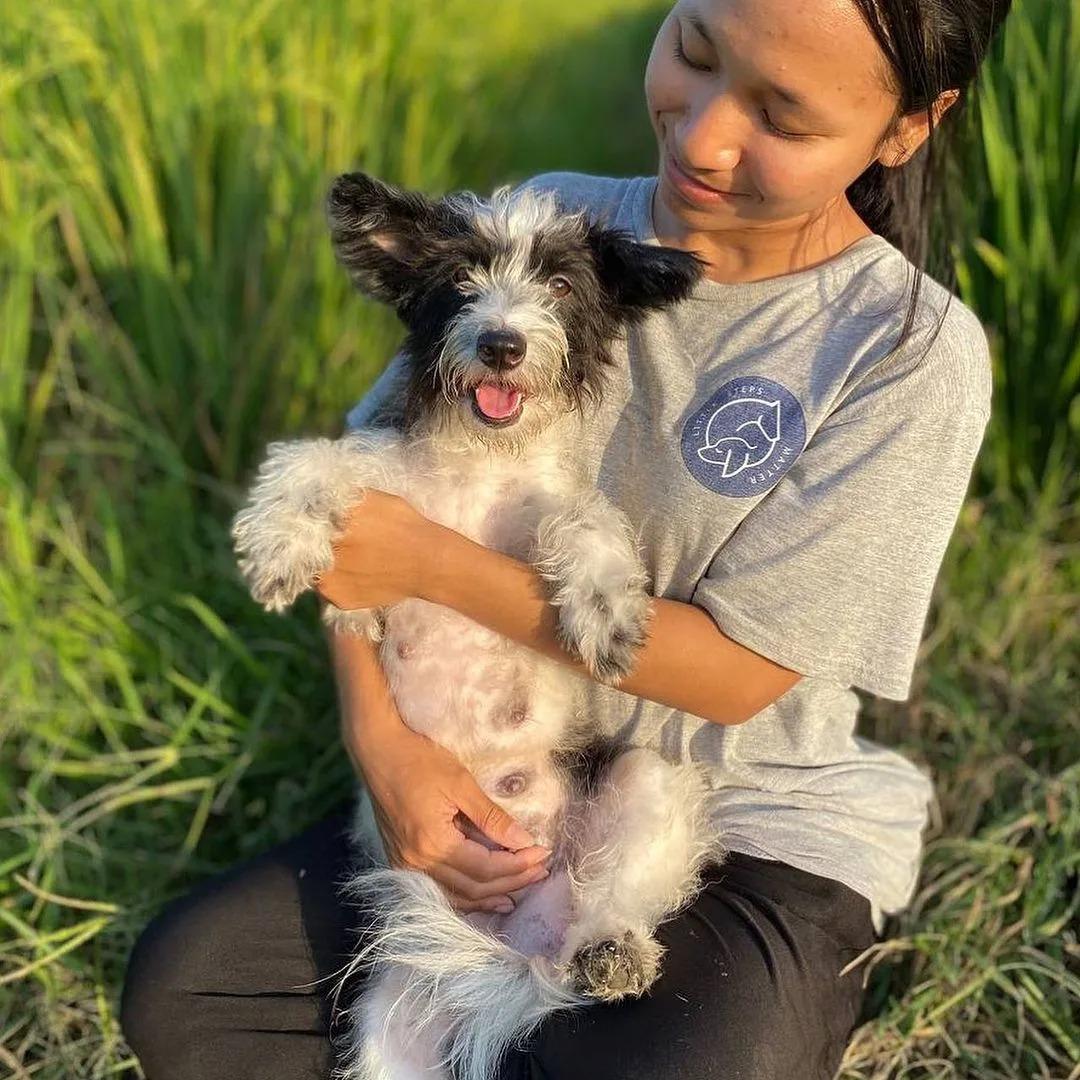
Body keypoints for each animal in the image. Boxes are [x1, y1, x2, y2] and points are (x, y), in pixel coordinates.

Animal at [228, 172, 725, 1075]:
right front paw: (278, 544)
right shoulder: (377, 500)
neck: (479, 465)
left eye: (559, 285)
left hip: (644, 788)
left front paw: (605, 608)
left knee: (615, 897)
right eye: (462, 279)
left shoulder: (548, 510)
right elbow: (308, 460)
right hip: (395, 1041)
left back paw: (613, 952)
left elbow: (587, 521)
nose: (501, 345)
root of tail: (515, 949)